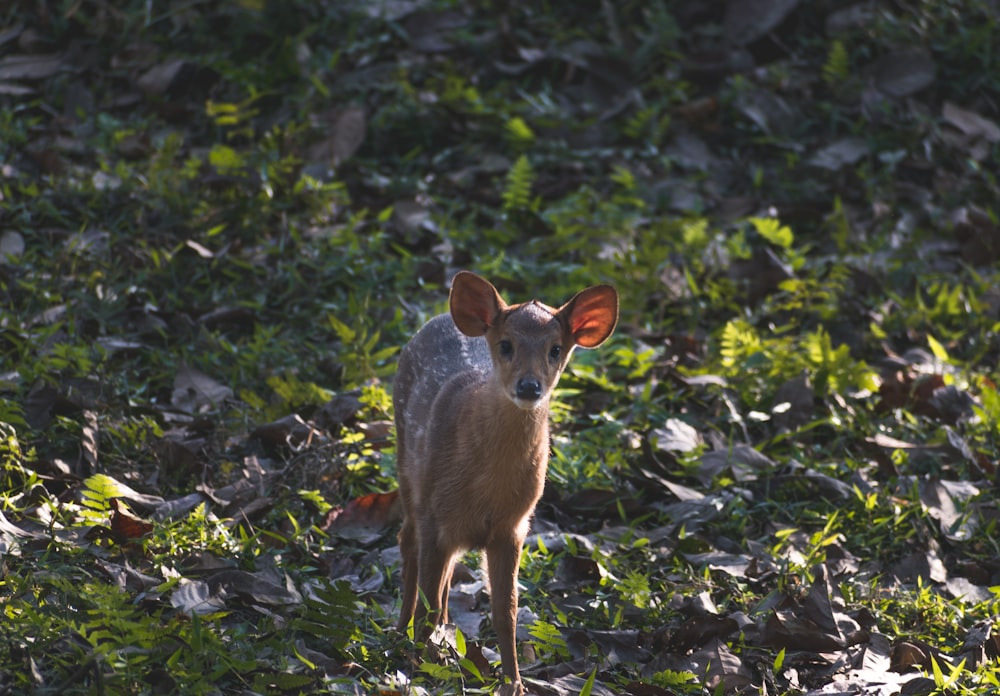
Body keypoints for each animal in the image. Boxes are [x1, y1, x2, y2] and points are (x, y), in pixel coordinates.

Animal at [392, 272, 616, 692]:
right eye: (506, 345)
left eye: (555, 349)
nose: (529, 387)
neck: (487, 486)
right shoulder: (435, 515)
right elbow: (429, 597)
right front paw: (419, 669)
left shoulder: (512, 528)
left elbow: (506, 611)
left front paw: (513, 683)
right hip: (408, 470)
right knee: (408, 544)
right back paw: (401, 636)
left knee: (446, 574)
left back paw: (442, 639)